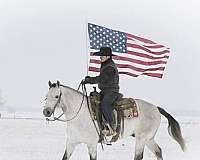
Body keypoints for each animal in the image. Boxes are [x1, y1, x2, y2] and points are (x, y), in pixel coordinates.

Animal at [42, 80, 186, 160]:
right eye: (46, 95)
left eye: (56, 96)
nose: (46, 112)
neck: (79, 115)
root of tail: (156, 108)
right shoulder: (71, 143)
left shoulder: (92, 145)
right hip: (149, 139)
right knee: (158, 152)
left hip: (142, 139)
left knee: (139, 156)